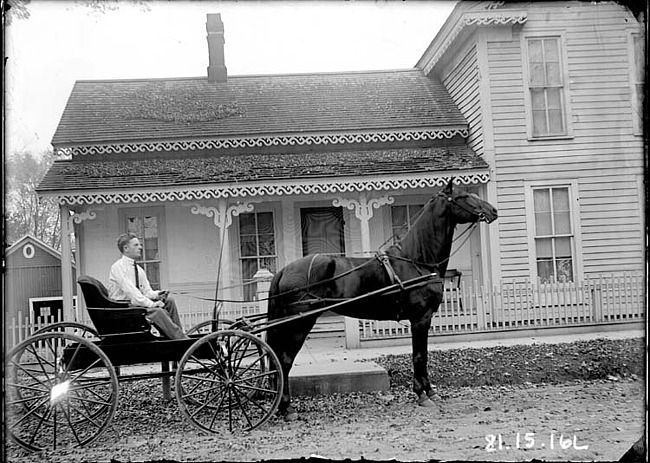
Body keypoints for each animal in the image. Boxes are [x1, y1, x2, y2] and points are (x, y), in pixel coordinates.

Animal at [264, 181, 496, 420]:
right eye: (464, 196)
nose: (493, 211)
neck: (417, 260)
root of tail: (284, 270)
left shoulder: (422, 319)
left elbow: (422, 355)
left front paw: (429, 392)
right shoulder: (420, 319)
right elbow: (419, 356)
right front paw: (423, 394)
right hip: (298, 325)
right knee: (284, 361)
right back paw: (287, 407)